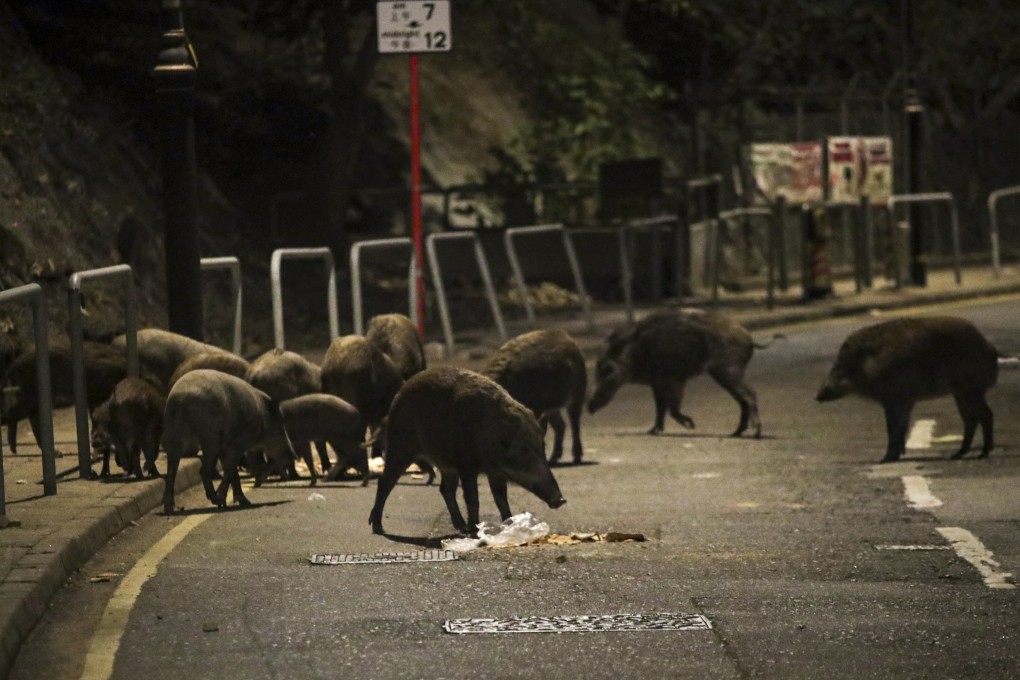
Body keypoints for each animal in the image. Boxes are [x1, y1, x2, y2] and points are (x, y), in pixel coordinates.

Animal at [162, 369, 294, 513]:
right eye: (281, 425)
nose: (293, 453)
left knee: (171, 472)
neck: (263, 419)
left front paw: (245, 502)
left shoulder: (226, 447)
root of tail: (181, 397)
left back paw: (170, 509)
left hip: (172, 431)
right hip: (210, 436)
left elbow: (233, 473)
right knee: (203, 470)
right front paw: (225, 501)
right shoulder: (237, 444)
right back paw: (215, 499)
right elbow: (230, 470)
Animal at [369, 366, 567, 536]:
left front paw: (509, 524)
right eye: (523, 450)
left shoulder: (495, 472)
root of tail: (399, 393)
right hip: (400, 446)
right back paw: (378, 527)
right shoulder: (467, 466)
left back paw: (461, 527)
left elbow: (501, 499)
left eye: (542, 448)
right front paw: (475, 530)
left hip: (446, 464)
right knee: (385, 481)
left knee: (445, 489)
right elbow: (473, 498)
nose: (560, 500)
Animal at [483, 328, 587, 464]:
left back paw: (577, 457)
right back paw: (553, 458)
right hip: (552, 407)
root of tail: (569, 340)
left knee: (574, 423)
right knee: (560, 426)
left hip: (578, 394)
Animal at [588, 308, 773, 438]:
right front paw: (653, 431)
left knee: (749, 394)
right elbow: (661, 406)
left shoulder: (672, 378)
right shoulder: (661, 381)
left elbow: (670, 407)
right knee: (742, 400)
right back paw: (735, 433)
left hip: (728, 370)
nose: (588, 405)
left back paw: (755, 433)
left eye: (606, 370)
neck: (632, 352)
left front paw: (691, 425)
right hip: (726, 373)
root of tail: (749, 339)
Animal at [815, 316, 999, 462]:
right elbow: (901, 426)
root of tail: (991, 349)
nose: (817, 396)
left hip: (971, 389)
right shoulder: (905, 400)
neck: (868, 366)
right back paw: (957, 454)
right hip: (961, 393)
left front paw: (885, 460)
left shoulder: (893, 398)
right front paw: (896, 456)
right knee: (971, 418)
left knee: (985, 415)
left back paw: (982, 454)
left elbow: (893, 428)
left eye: (839, 367)